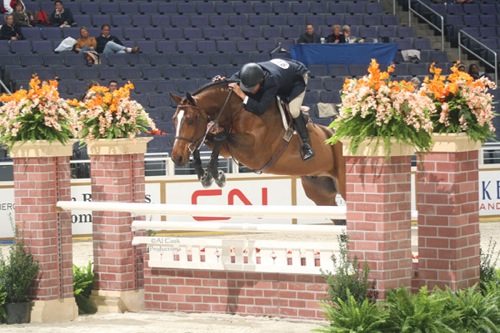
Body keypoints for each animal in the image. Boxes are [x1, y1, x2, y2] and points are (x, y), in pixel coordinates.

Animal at [170, 79, 346, 211]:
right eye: (174, 119)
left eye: (190, 120)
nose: (176, 157)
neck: (239, 109)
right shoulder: (229, 148)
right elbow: (207, 141)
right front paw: (205, 176)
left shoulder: (254, 153)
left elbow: (219, 137)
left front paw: (216, 176)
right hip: (320, 193)